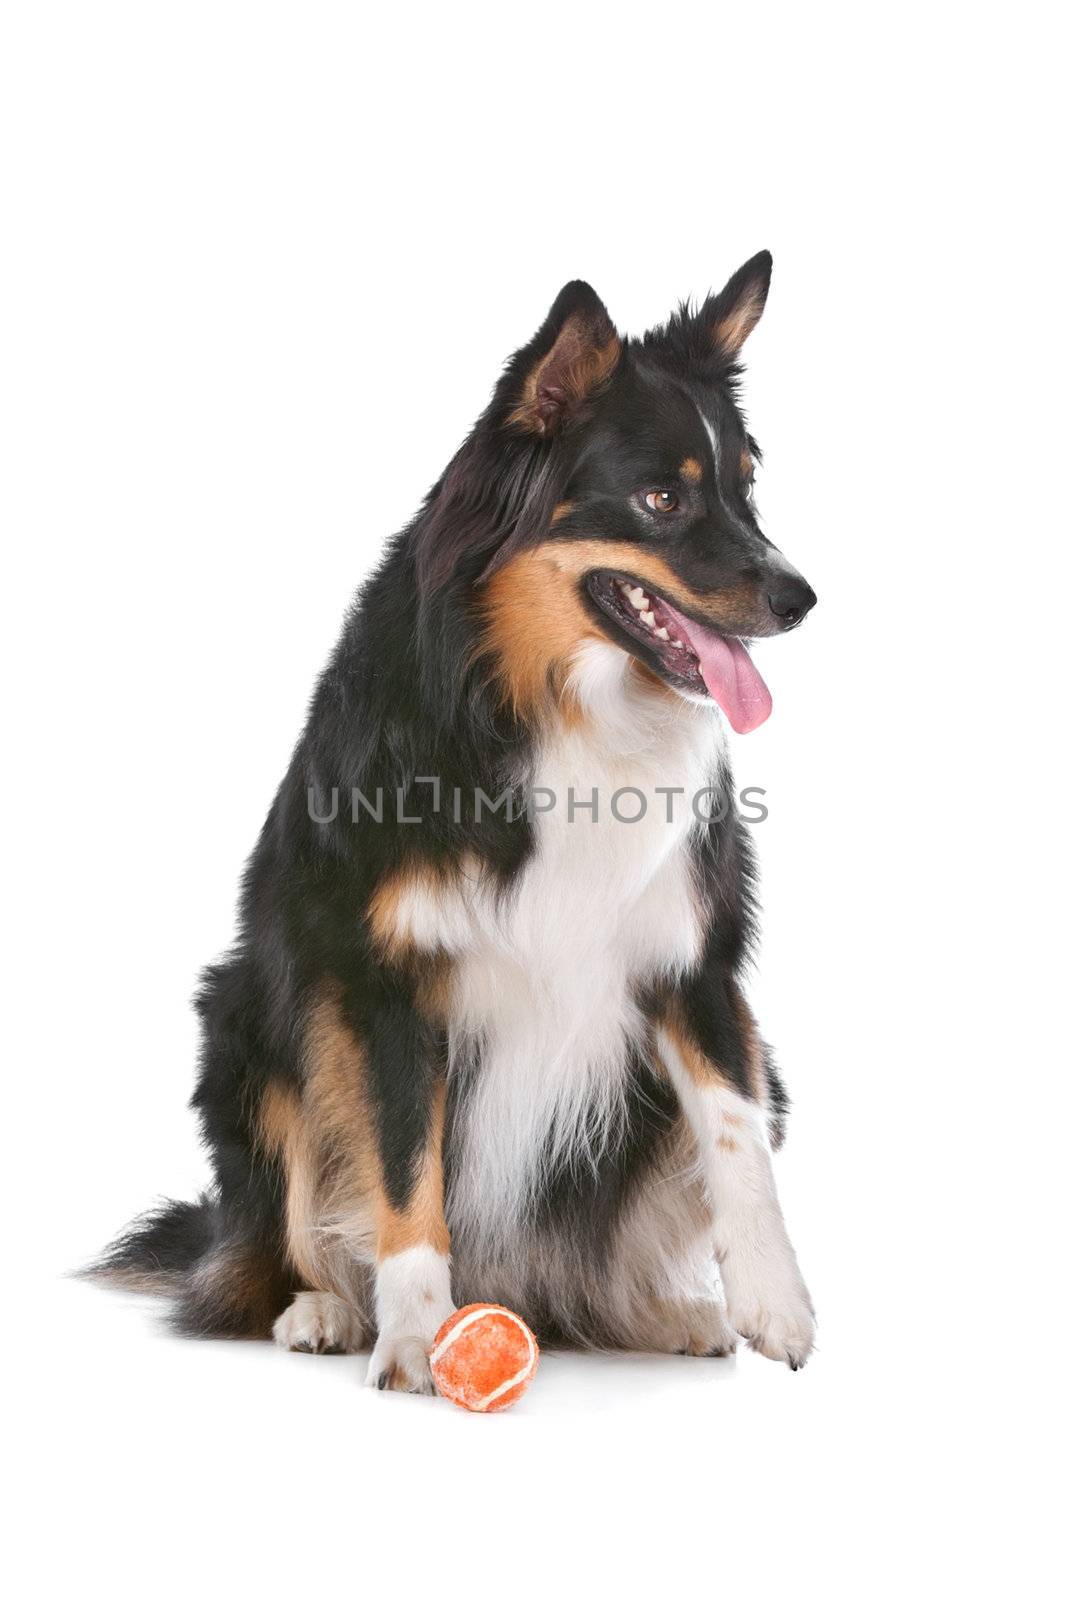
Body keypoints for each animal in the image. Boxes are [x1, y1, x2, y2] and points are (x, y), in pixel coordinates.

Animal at [95, 249, 825, 1388]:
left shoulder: (691, 957)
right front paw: (411, 1331)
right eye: (661, 497)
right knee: (275, 1234)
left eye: (747, 486)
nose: (800, 598)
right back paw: (321, 1309)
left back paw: (653, 1312)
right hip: (249, 1023)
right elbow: (404, 1166)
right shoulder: (384, 976)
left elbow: (735, 1134)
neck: (552, 707)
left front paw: (774, 1304)